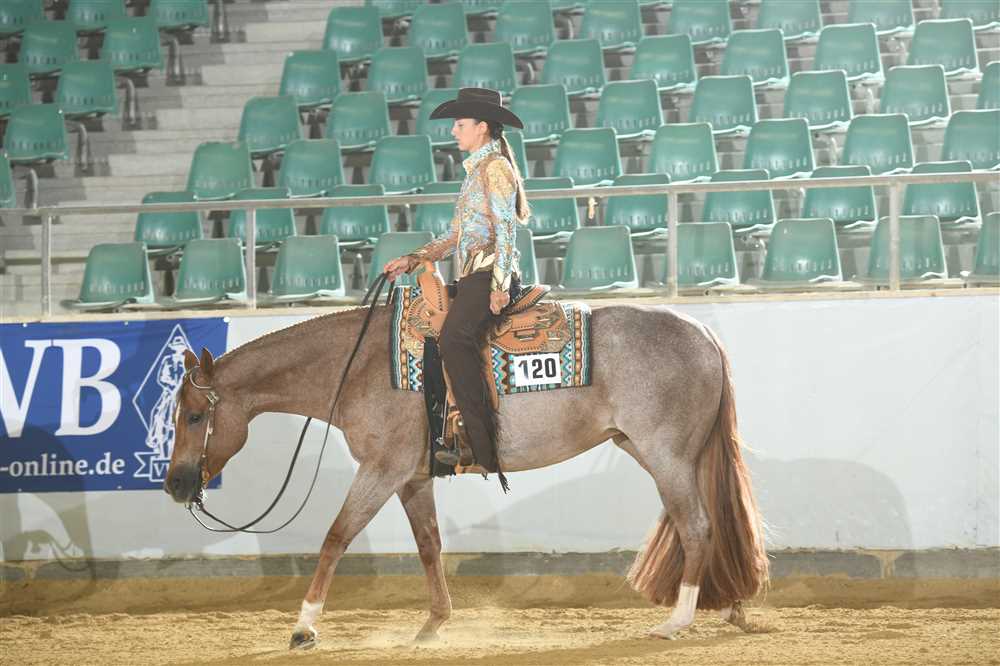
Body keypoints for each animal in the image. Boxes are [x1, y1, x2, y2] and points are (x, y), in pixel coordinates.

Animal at [164, 299, 769, 649]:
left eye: (193, 415)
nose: (174, 484)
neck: (358, 367)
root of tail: (704, 334)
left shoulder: (381, 469)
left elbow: (336, 537)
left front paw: (305, 625)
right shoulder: (412, 477)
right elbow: (429, 546)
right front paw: (433, 624)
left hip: (667, 456)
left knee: (698, 527)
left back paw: (677, 621)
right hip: (665, 454)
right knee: (715, 523)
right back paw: (730, 605)